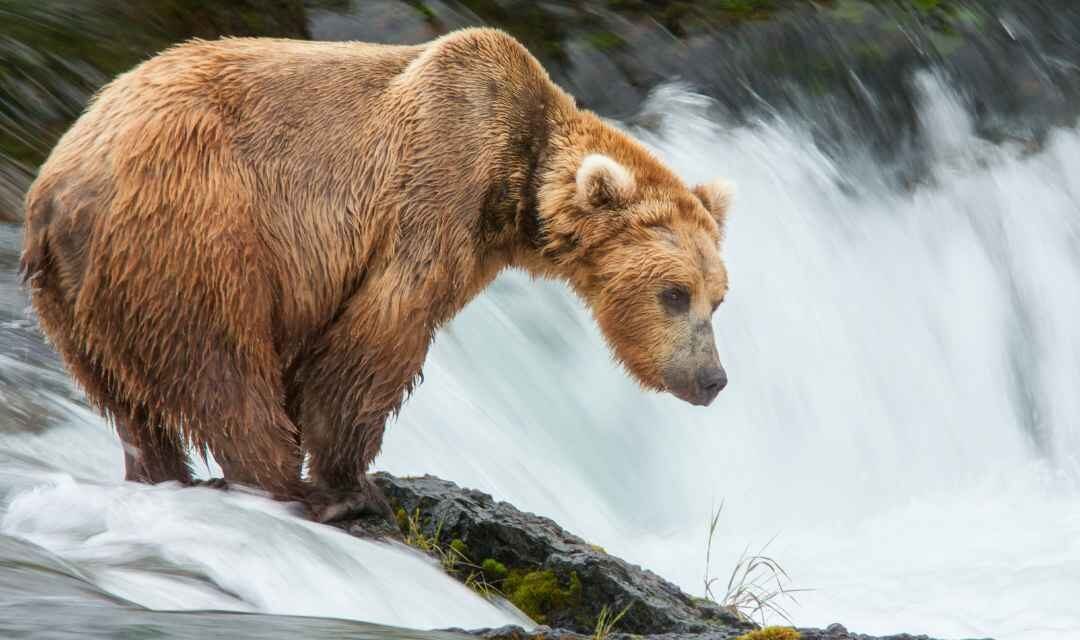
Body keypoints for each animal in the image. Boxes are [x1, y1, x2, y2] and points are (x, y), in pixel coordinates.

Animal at [21, 27, 734, 522]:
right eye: (674, 294)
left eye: (718, 300)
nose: (713, 379)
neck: (515, 187)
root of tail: (59, 190)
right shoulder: (433, 190)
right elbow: (376, 340)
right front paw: (353, 485)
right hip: (194, 235)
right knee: (224, 368)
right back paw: (283, 486)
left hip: (78, 306)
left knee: (129, 403)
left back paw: (161, 474)